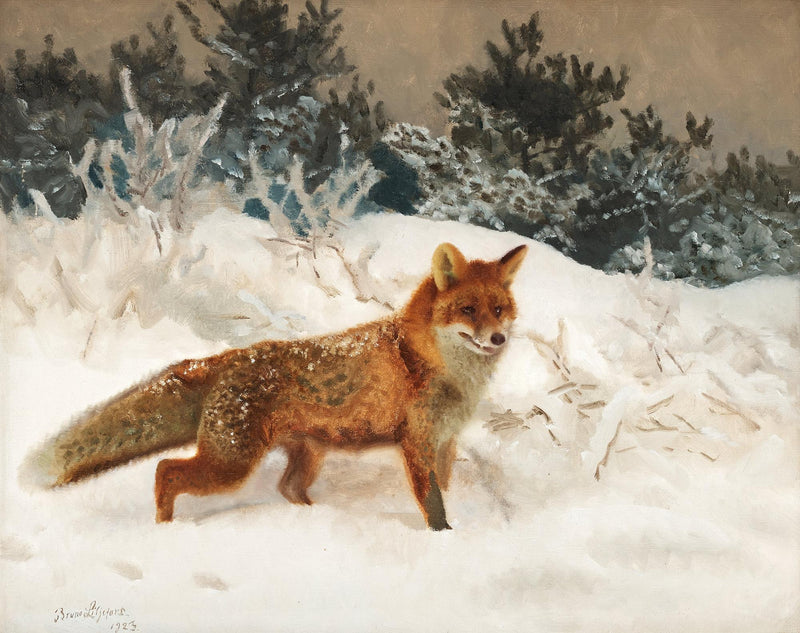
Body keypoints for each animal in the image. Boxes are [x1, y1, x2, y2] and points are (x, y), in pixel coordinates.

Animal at [23, 242, 527, 530]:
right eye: (467, 310)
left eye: (499, 309)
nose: (498, 339)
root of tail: (224, 358)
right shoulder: (418, 442)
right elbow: (433, 504)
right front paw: (443, 540)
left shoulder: (444, 441)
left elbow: (445, 488)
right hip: (232, 463)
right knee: (165, 471)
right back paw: (165, 530)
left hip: (305, 455)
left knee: (286, 489)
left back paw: (310, 519)